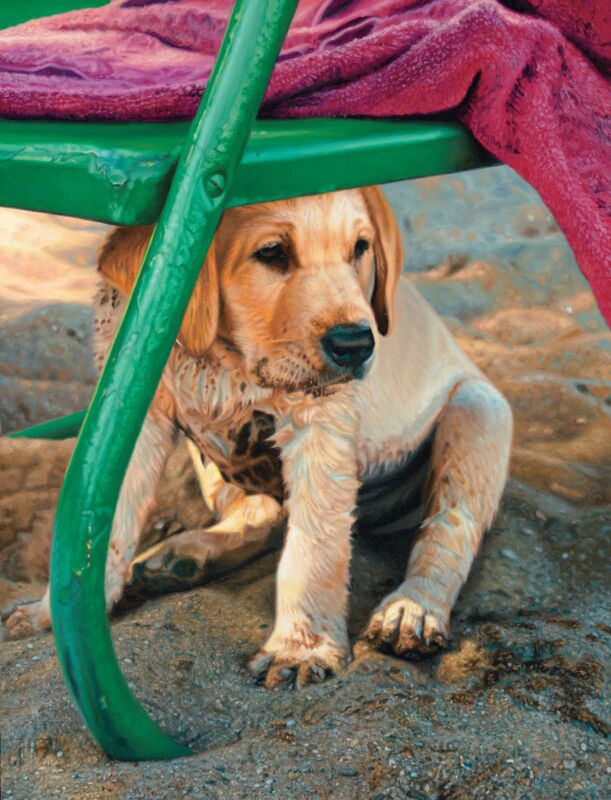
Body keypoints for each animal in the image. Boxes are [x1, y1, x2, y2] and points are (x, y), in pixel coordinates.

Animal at [5, 189, 512, 688]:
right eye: (271, 253)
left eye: (360, 249)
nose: (355, 345)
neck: (226, 362)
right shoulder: (137, 417)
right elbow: (108, 524)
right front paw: (52, 611)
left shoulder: (319, 424)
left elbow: (312, 549)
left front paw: (300, 648)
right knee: (264, 515)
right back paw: (190, 555)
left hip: (478, 412)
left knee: (448, 528)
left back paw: (412, 609)